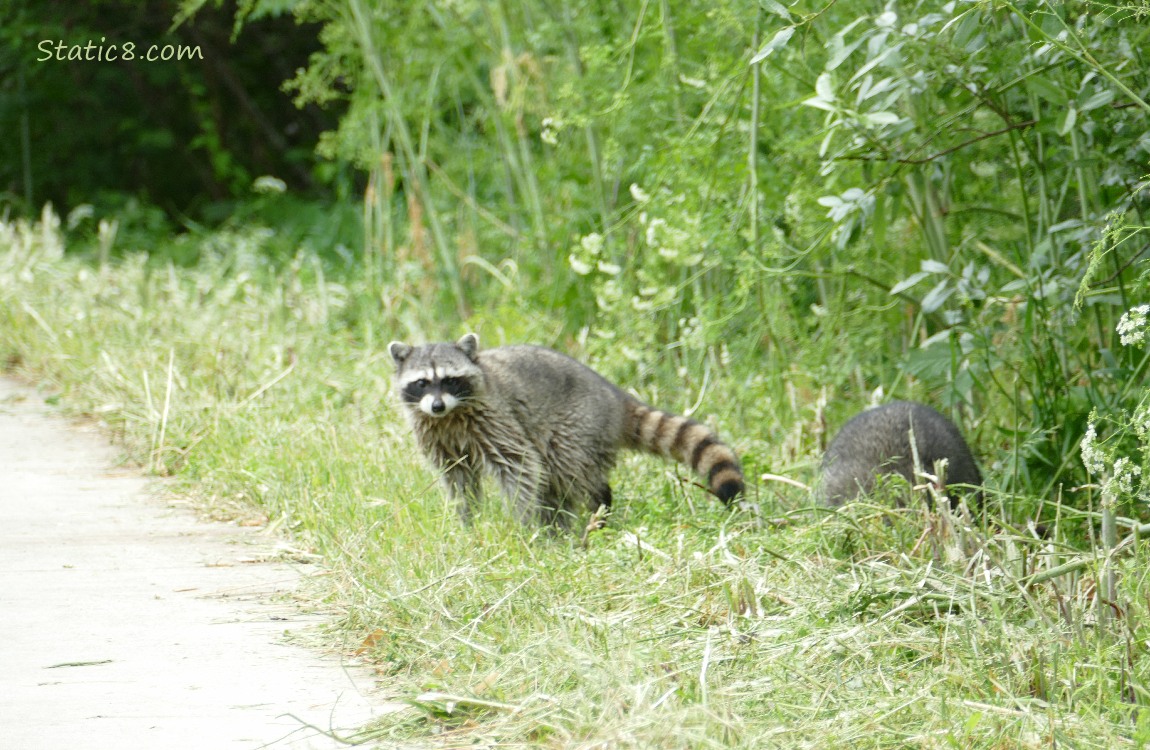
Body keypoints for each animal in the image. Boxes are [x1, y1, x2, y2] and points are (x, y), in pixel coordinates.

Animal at [387, 333, 744, 527]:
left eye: (450, 380)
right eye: (422, 383)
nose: (436, 406)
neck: (448, 417)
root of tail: (614, 397)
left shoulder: (496, 420)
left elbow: (519, 465)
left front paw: (522, 524)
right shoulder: (437, 436)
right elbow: (458, 480)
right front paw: (467, 522)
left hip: (576, 425)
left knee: (563, 468)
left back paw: (595, 508)